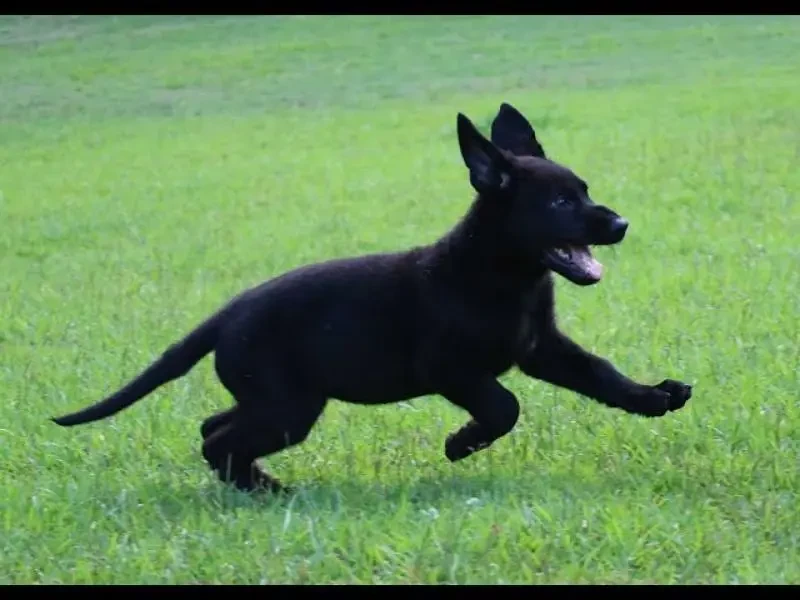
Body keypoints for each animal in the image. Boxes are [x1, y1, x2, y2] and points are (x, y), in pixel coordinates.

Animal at [53, 103, 692, 494]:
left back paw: (261, 487)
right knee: (221, 442)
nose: (622, 225)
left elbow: (602, 375)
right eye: (560, 202)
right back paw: (270, 491)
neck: (504, 276)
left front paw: (654, 396)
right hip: (288, 407)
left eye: (584, 190)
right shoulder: (452, 369)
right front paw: (461, 444)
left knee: (214, 428)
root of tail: (225, 314)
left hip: (277, 401)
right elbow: (504, 406)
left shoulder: (543, 349)